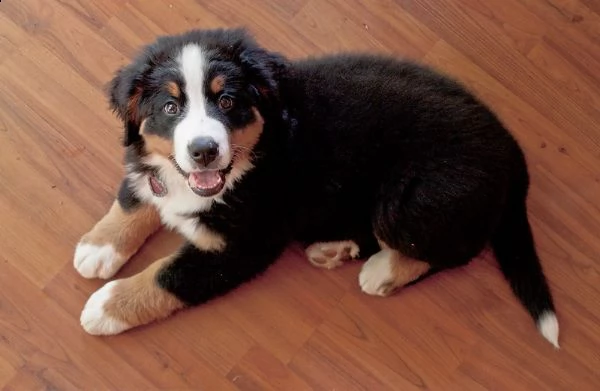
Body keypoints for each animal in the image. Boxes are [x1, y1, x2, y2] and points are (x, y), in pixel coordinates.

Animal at [74, 28, 556, 350]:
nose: (204, 151)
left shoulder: (243, 245)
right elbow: (137, 194)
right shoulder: (153, 169)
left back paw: (383, 272)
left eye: (227, 101)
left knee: (453, 248)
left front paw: (107, 306)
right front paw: (99, 246)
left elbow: (168, 275)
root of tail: (509, 145)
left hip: (407, 201)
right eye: (171, 107)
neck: (249, 160)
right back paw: (334, 249)